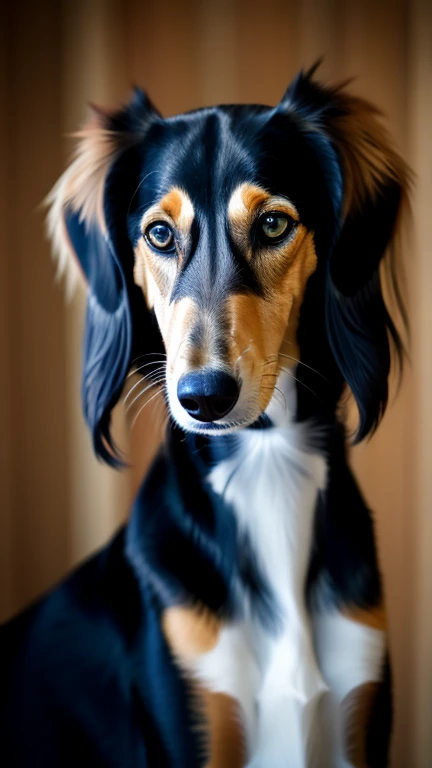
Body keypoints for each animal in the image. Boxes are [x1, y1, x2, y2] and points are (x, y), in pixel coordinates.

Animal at [1, 67, 408, 768]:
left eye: (273, 224)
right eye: (159, 234)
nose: (204, 397)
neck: (266, 465)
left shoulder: (361, 711)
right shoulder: (193, 712)